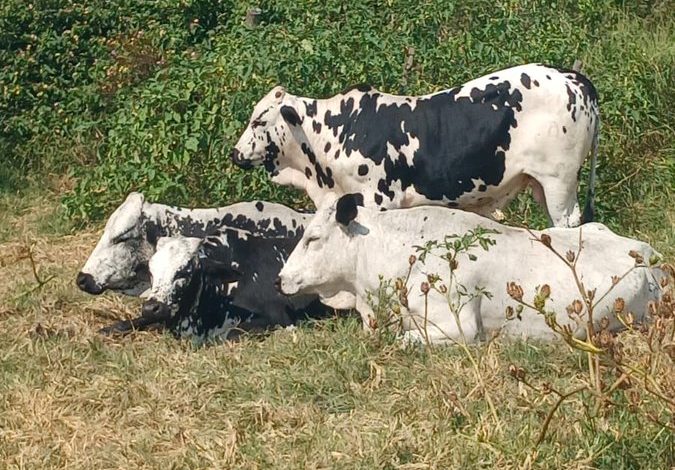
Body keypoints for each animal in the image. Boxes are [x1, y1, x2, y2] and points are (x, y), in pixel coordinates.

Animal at [231, 63, 599, 227]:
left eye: (259, 120)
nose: (235, 154)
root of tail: (571, 77)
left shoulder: (379, 200)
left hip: (558, 182)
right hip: (541, 183)